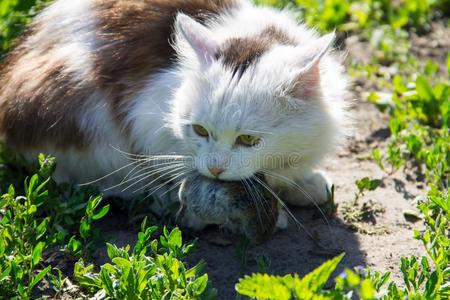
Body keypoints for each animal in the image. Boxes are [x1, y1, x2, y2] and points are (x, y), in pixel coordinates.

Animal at [0, 0, 348, 230]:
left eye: (248, 139)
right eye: (200, 131)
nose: (216, 169)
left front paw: (302, 182)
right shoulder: (144, 116)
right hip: (82, 111)